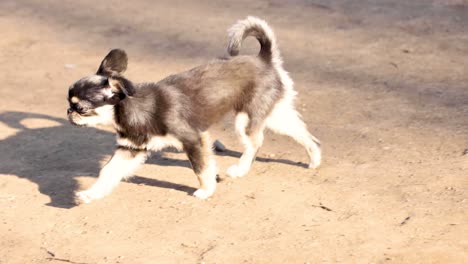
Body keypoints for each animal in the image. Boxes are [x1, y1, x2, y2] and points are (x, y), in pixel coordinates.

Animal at [66, 16, 322, 203]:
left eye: (81, 108)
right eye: (70, 103)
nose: (69, 112)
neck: (134, 110)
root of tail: (264, 59)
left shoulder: (193, 140)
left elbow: (201, 169)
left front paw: (207, 191)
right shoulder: (129, 149)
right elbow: (108, 172)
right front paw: (91, 193)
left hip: (245, 121)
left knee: (255, 144)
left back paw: (240, 169)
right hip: (275, 114)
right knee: (305, 134)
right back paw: (315, 157)